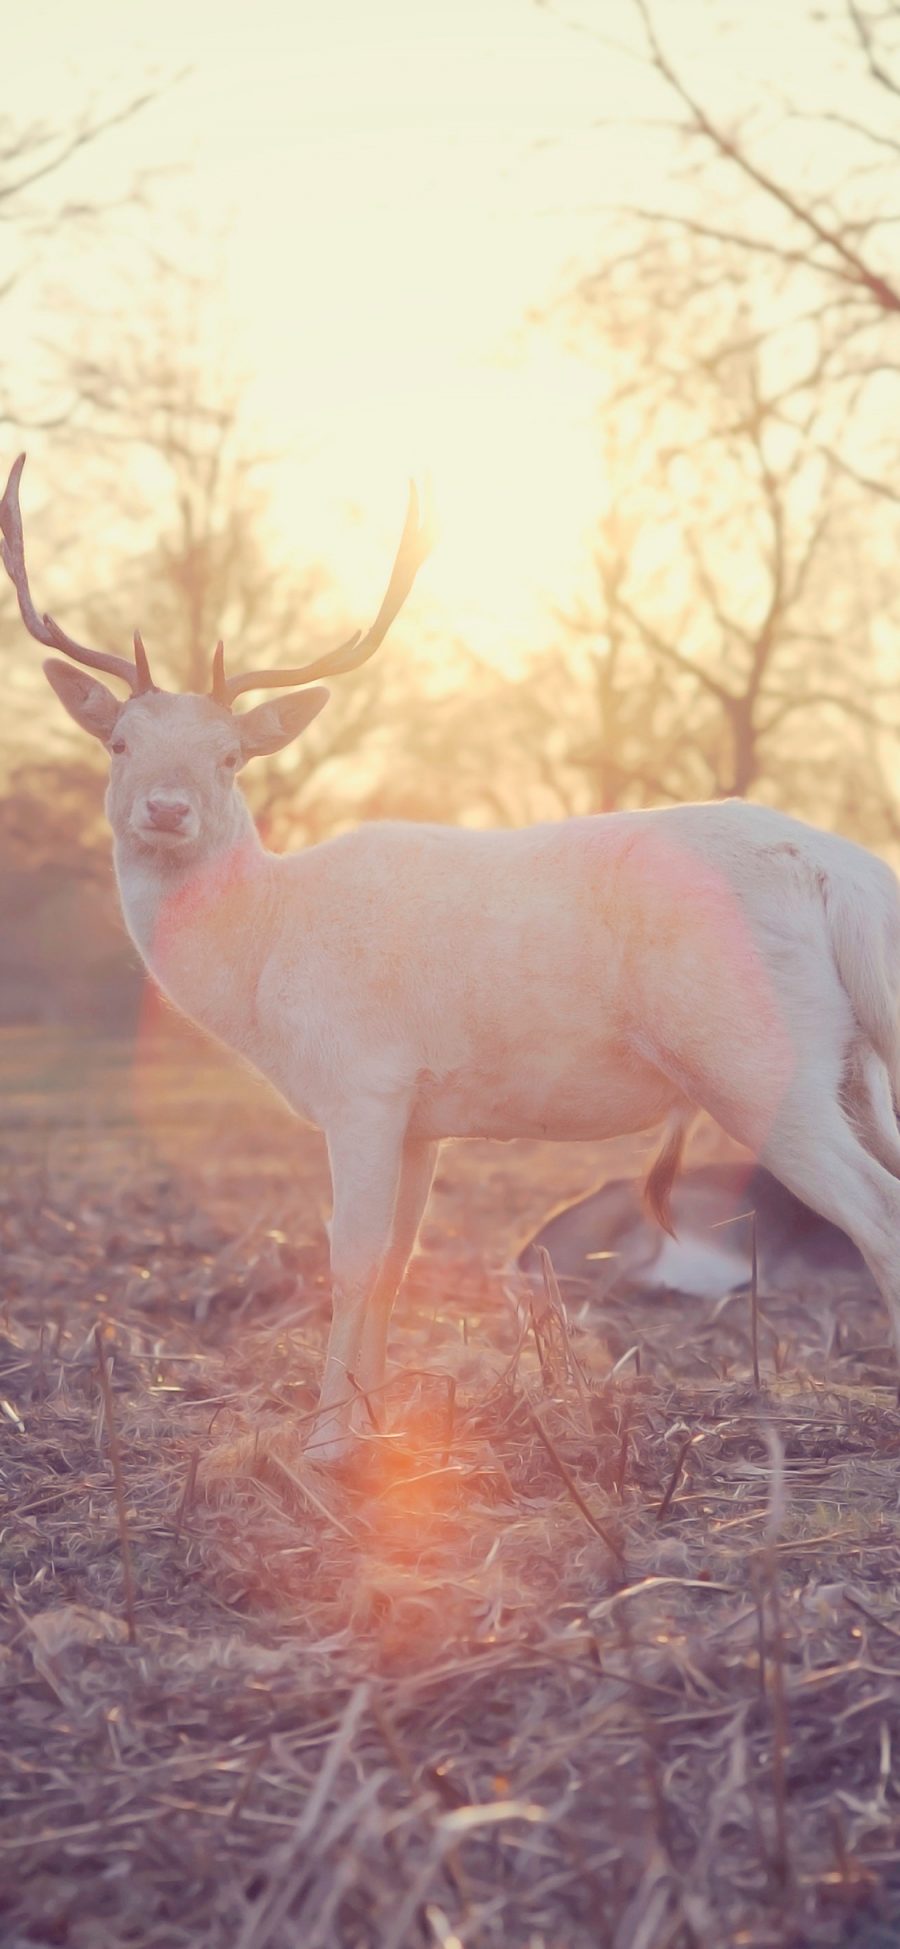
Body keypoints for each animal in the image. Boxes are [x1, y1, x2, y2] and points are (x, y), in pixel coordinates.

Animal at [5, 452, 900, 1465]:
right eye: (119, 743)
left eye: (231, 756)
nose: (166, 807)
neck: (266, 957)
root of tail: (844, 875)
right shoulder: (422, 1115)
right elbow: (399, 1262)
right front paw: (372, 1425)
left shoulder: (361, 1081)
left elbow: (351, 1258)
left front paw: (321, 1442)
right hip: (852, 1064)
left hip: (754, 1059)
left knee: (876, 1213)